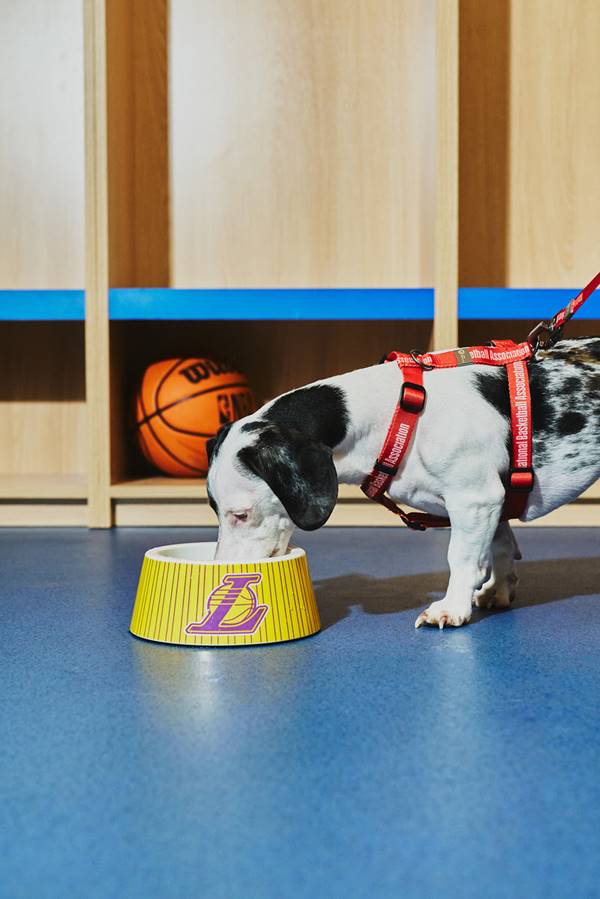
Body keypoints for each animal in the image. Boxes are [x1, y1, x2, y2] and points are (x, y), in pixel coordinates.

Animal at [205, 342, 600, 628]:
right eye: (213, 509)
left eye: (241, 514)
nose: (224, 571)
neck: (401, 413)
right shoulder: (495, 501)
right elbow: (499, 547)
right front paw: (497, 589)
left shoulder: (475, 499)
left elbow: (461, 557)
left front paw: (452, 607)